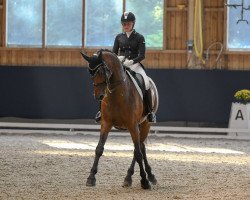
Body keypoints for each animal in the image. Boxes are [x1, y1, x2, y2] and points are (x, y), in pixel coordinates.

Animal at [80, 48, 158, 189]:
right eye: (90, 72)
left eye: (101, 71)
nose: (98, 96)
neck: (117, 93)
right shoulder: (106, 123)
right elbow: (99, 149)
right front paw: (91, 177)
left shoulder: (132, 125)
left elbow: (137, 153)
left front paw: (144, 181)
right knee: (142, 146)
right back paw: (148, 175)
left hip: (145, 124)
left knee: (139, 148)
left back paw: (133, 177)